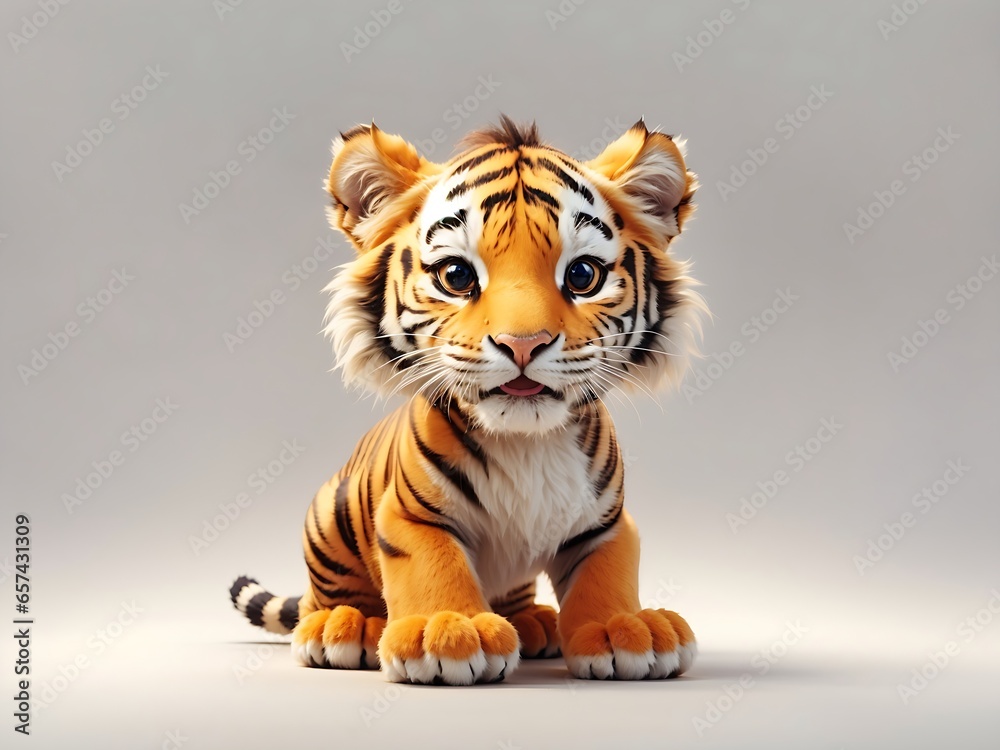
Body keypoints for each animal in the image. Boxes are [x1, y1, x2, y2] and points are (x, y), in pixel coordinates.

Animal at [230, 115, 706, 684]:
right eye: (456, 277)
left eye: (582, 275)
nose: (523, 344)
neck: (527, 443)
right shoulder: (411, 514)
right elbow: (433, 561)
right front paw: (448, 630)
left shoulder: (608, 522)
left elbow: (606, 571)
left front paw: (626, 627)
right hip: (329, 513)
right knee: (323, 598)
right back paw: (344, 625)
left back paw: (534, 621)